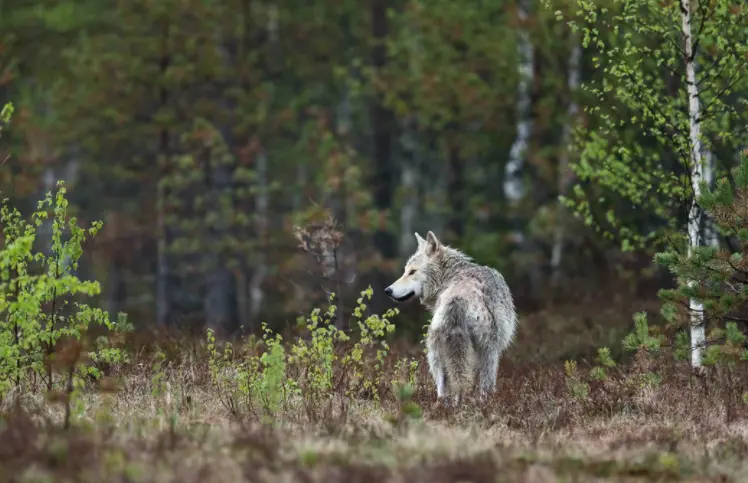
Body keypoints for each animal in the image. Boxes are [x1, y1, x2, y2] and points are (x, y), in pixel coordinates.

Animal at [385, 231, 518, 405]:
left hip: (435, 354)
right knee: (483, 388)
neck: (449, 277)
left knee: (443, 390)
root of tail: (457, 299)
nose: (387, 290)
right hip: (488, 352)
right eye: (406, 271)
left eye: (412, 271)